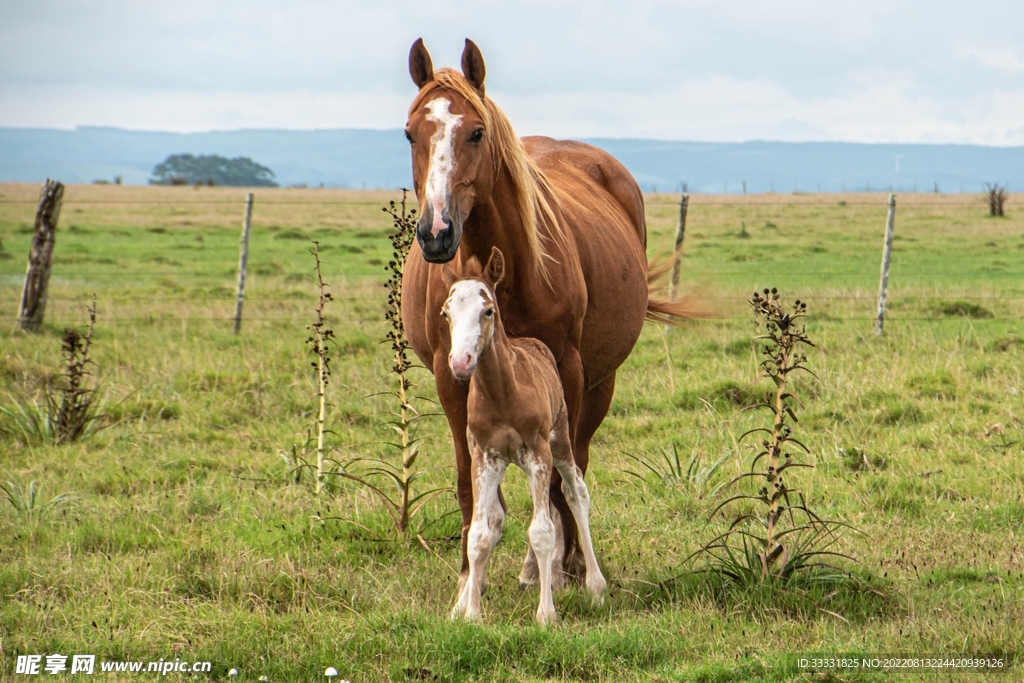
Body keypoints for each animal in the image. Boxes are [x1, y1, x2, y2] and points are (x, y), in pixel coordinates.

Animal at [442, 247, 605, 625]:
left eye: (488, 310)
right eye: (445, 312)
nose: (460, 362)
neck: (504, 394)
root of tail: (535, 342)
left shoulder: (538, 453)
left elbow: (542, 531)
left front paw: (546, 614)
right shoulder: (485, 456)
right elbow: (479, 533)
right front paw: (471, 614)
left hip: (560, 441)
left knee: (577, 492)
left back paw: (596, 586)